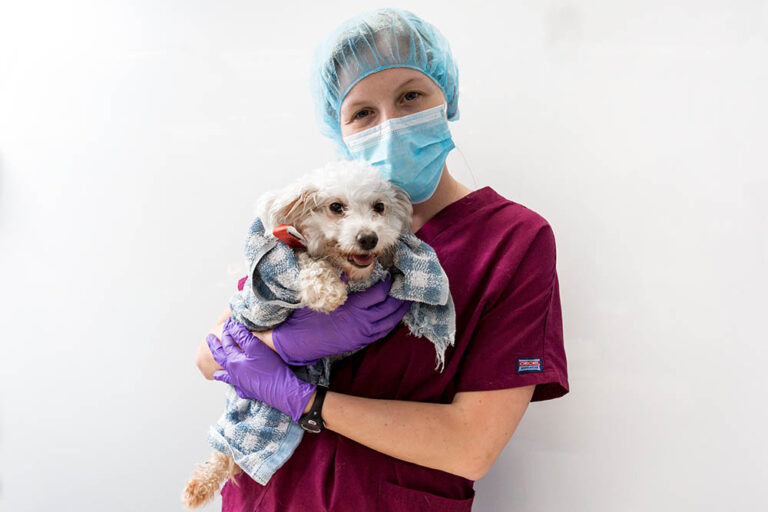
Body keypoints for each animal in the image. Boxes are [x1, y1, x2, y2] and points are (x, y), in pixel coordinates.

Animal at [182, 160, 414, 508]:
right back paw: (200, 485)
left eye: (379, 207)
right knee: (225, 449)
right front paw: (328, 292)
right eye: (336, 207)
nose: (368, 238)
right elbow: (309, 266)